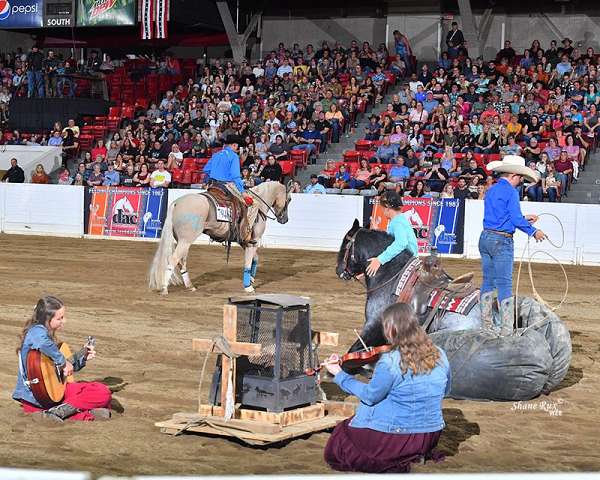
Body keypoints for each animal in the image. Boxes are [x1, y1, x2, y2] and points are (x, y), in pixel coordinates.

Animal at [149, 180, 292, 292]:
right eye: (289, 199)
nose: (284, 219)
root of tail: (177, 203)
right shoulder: (254, 240)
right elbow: (248, 262)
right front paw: (248, 287)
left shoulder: (245, 242)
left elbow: (255, 258)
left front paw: (251, 279)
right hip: (185, 240)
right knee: (173, 259)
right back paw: (164, 287)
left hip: (183, 241)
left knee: (181, 261)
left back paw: (190, 286)